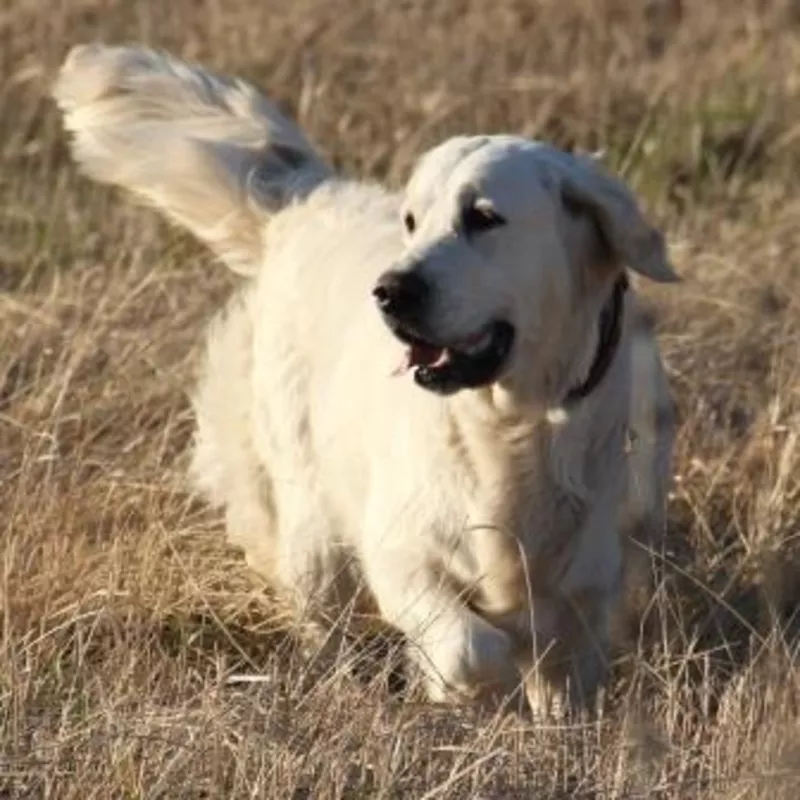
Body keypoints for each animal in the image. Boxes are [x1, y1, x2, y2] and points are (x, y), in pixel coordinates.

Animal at [53, 47, 676, 716]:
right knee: (320, 612)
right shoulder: (399, 549)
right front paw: (462, 689)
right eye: (412, 221)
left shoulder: (587, 584)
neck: (513, 424)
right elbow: (472, 647)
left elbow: (565, 679)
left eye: (484, 217)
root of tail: (305, 198)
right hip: (311, 519)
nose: (390, 291)